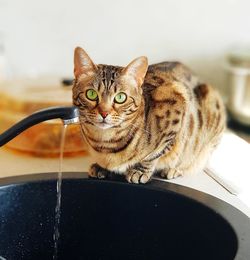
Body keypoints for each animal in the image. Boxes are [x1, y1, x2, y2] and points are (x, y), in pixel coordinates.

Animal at [72, 47, 225, 185]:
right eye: (91, 94)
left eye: (120, 97)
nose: (104, 113)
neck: (104, 143)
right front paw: (102, 167)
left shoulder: (177, 102)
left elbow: (155, 154)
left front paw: (139, 171)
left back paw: (175, 169)